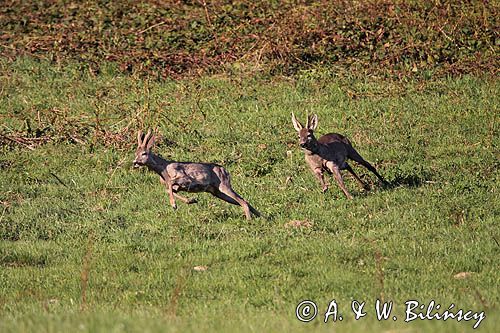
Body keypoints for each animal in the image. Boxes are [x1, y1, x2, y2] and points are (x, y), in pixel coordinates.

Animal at [133, 130, 262, 220]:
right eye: (135, 153)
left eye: (144, 153)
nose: (134, 162)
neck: (164, 168)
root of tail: (225, 170)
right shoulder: (177, 187)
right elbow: (168, 189)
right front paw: (192, 200)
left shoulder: (185, 178)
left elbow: (170, 183)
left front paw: (174, 205)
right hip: (217, 192)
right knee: (243, 200)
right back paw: (261, 217)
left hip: (224, 186)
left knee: (242, 201)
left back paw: (249, 220)